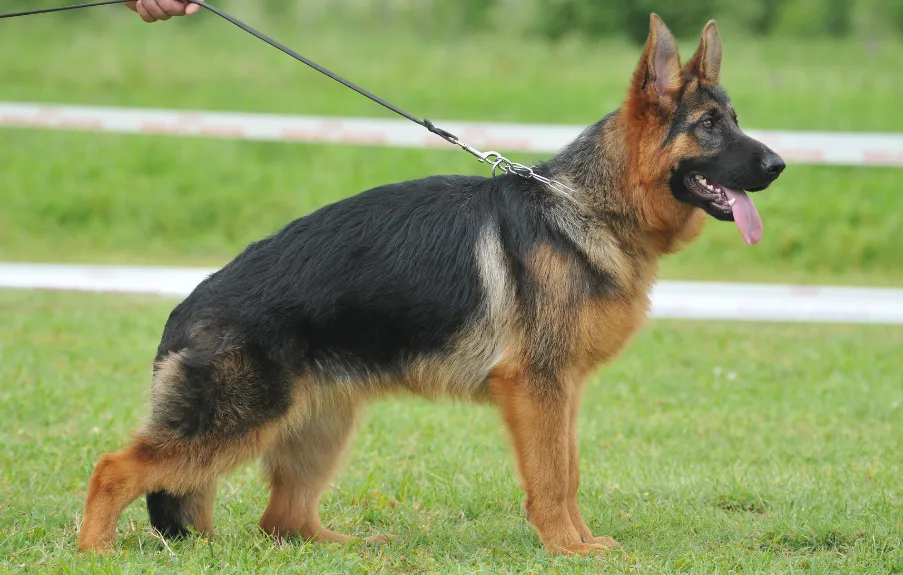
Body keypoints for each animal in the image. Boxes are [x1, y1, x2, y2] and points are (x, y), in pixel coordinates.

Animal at [77, 13, 784, 556]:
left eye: (735, 120)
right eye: (709, 126)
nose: (780, 163)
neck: (587, 205)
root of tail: (185, 307)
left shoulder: (561, 392)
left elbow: (569, 470)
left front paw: (580, 542)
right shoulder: (538, 388)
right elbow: (553, 477)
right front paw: (568, 548)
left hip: (320, 425)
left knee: (282, 522)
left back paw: (350, 546)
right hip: (239, 421)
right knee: (114, 469)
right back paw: (95, 550)